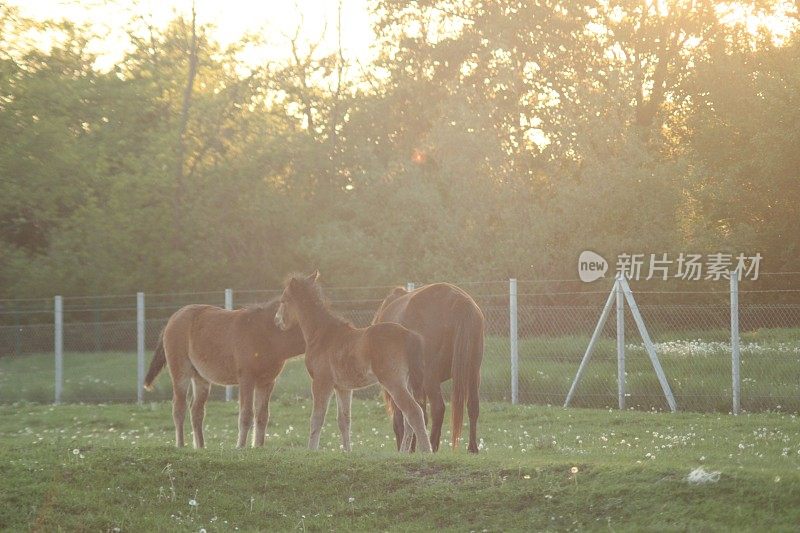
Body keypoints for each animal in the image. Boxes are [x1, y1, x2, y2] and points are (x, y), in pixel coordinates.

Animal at [142, 300, 304, 448]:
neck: (265, 333)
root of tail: (171, 320)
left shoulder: (267, 382)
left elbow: (262, 416)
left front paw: (258, 447)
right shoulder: (247, 380)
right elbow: (246, 414)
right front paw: (240, 447)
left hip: (201, 379)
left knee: (196, 412)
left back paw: (201, 447)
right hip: (181, 375)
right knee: (179, 409)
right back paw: (181, 445)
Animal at [274, 272, 432, 450]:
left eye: (284, 299)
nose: (277, 321)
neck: (322, 335)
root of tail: (407, 334)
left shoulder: (321, 382)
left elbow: (317, 418)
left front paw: (311, 450)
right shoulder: (343, 388)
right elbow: (344, 421)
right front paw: (347, 451)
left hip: (394, 382)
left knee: (414, 412)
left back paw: (426, 451)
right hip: (407, 382)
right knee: (408, 419)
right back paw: (403, 453)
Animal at [372, 282, 484, 454]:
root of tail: (461, 301)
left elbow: (406, 416)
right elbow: (419, 414)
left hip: (431, 377)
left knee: (438, 408)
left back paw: (433, 446)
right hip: (472, 372)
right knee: (473, 406)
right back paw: (472, 448)